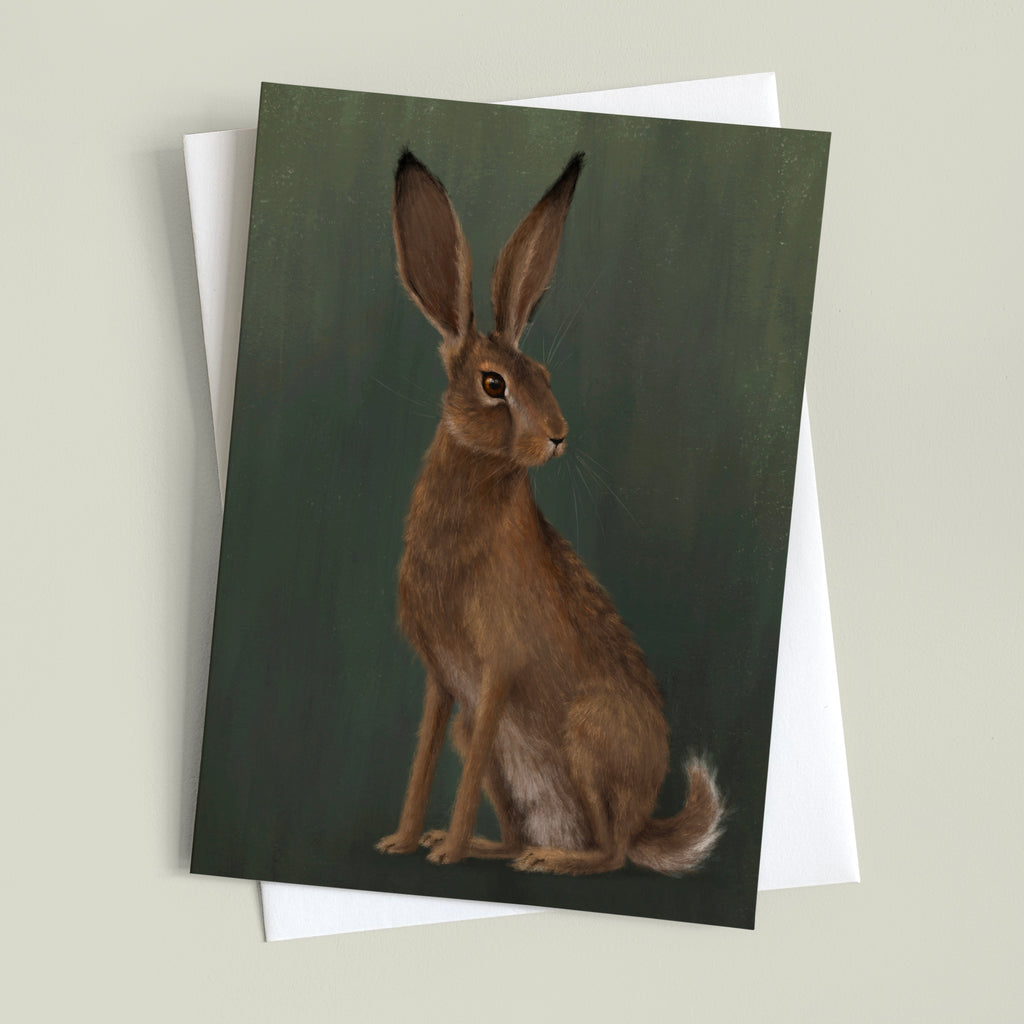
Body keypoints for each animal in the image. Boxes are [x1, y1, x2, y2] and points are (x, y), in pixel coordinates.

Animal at [375, 149, 724, 875]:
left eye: (544, 376)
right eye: (493, 384)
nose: (559, 436)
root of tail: (647, 821)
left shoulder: (496, 671)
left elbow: (460, 766)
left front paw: (445, 854)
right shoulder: (444, 683)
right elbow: (425, 760)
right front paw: (405, 841)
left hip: (587, 735)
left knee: (613, 855)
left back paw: (551, 861)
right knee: (518, 822)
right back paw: (494, 847)